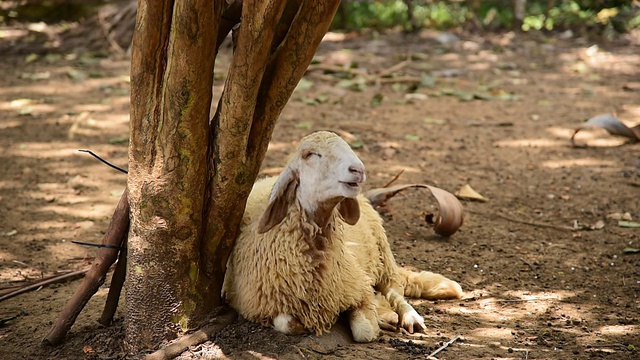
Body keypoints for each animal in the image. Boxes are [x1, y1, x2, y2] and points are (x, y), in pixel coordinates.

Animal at [222, 131, 462, 342]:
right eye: (310, 154)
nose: (358, 169)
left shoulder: (357, 287)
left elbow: (364, 331)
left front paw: (372, 320)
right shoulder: (258, 306)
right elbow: (287, 324)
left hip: (383, 257)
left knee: (395, 291)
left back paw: (407, 316)